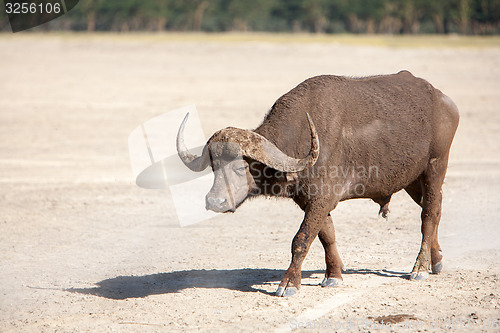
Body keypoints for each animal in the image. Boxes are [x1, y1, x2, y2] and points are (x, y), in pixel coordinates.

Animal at [178, 70, 458, 296]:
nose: (214, 201)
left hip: (435, 166)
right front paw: (333, 275)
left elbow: (301, 239)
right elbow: (326, 236)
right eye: (214, 166)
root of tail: (445, 101)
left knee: (430, 214)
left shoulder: (322, 199)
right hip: (411, 179)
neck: (301, 142)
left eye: (239, 167)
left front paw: (289, 284)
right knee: (435, 209)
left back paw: (420, 267)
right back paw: (436, 260)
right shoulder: (312, 201)